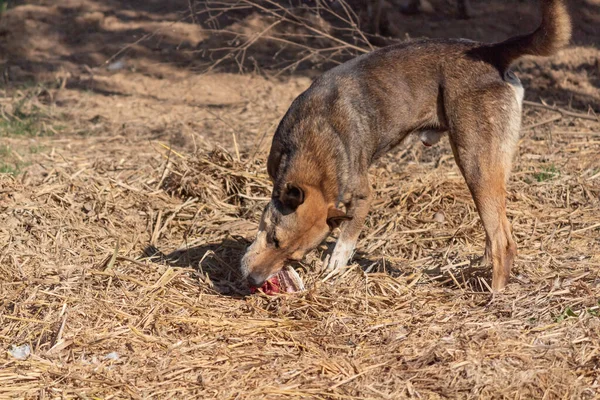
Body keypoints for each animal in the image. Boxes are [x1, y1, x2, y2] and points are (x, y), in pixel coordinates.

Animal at [243, 1, 572, 292]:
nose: (254, 280)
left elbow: (346, 239)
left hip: (475, 165)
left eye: (292, 255)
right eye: (274, 240)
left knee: (504, 241)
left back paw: (493, 296)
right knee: (496, 235)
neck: (317, 143)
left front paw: (335, 267)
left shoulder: (363, 196)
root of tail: (492, 51)